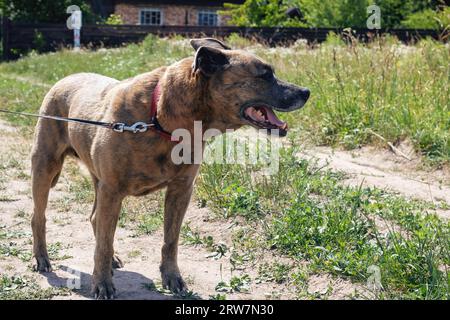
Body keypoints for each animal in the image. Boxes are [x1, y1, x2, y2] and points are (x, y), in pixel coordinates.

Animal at [30, 38, 310, 300]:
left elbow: (170, 239)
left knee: (94, 219)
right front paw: (102, 283)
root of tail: (66, 78)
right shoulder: (113, 191)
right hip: (45, 168)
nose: (306, 91)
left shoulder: (180, 190)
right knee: (40, 217)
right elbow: (104, 244)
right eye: (265, 75)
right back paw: (42, 258)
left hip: (97, 183)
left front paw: (172, 277)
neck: (159, 118)